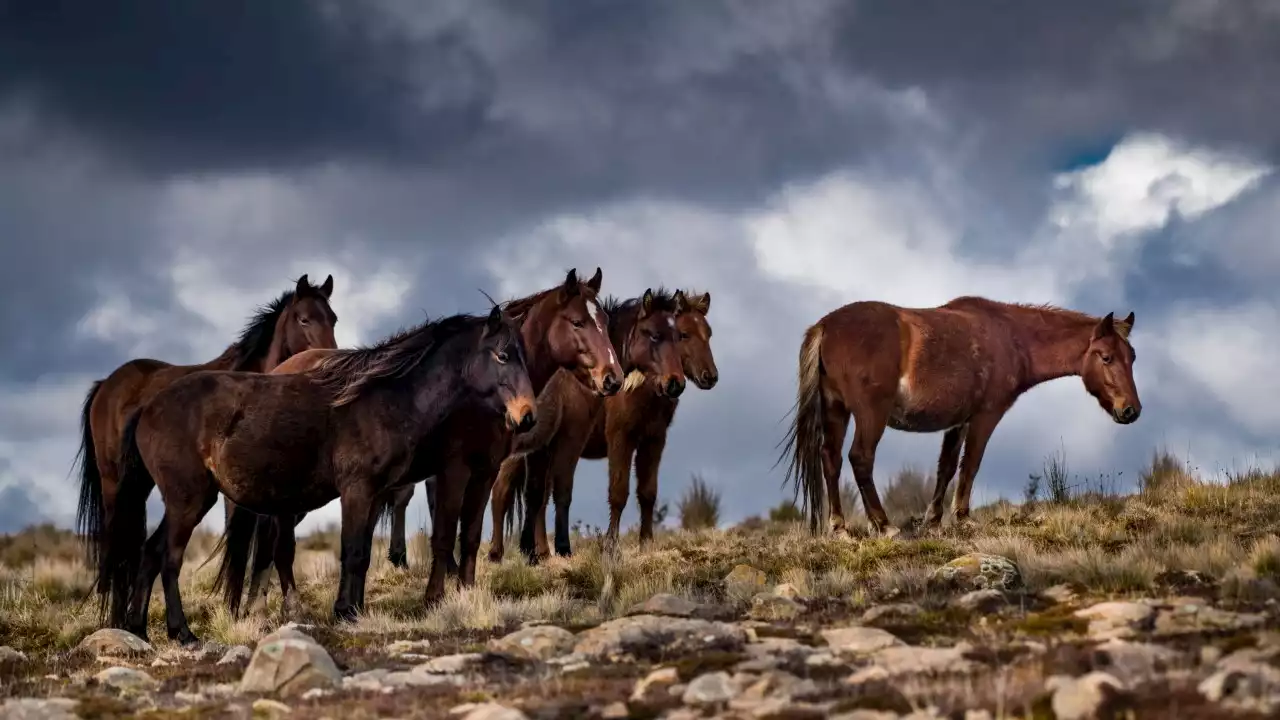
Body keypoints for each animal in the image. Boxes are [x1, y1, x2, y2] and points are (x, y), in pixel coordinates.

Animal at [73, 271, 337, 620]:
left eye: (333, 318)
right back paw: (118, 618)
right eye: (304, 319)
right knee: (118, 544)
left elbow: (263, 547)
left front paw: (253, 608)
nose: (329, 361)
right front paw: (237, 610)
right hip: (113, 483)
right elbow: (242, 545)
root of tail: (106, 384)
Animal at [103, 299, 535, 640]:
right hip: (189, 501)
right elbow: (353, 551)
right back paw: (182, 632)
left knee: (150, 552)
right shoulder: (358, 490)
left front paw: (355, 610)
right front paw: (344, 611)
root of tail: (149, 406)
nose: (527, 416)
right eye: (502, 355)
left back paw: (139, 629)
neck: (382, 398)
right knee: (170, 557)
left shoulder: (375, 493)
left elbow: (362, 554)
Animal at [212, 266, 622, 614]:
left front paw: (466, 592)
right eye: (578, 321)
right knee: (273, 539)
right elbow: (443, 534)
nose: (612, 378)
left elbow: (469, 536)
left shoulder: (486, 470)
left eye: (604, 321)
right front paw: (433, 599)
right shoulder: (452, 470)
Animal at [483, 285, 706, 561]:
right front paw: (600, 548)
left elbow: (646, 492)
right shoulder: (595, 438)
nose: (676, 383)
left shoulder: (651, 439)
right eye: (655, 335)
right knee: (500, 492)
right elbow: (591, 491)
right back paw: (497, 552)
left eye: (679, 336)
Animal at [773, 294, 1146, 535]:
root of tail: (825, 326)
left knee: (831, 459)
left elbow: (947, 467)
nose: (1130, 410)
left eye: (1132, 356)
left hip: (836, 409)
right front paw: (963, 518)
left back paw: (839, 528)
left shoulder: (957, 422)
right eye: (1106, 357)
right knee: (860, 458)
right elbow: (970, 465)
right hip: (869, 414)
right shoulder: (985, 416)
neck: (1010, 338)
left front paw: (934, 520)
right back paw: (884, 525)